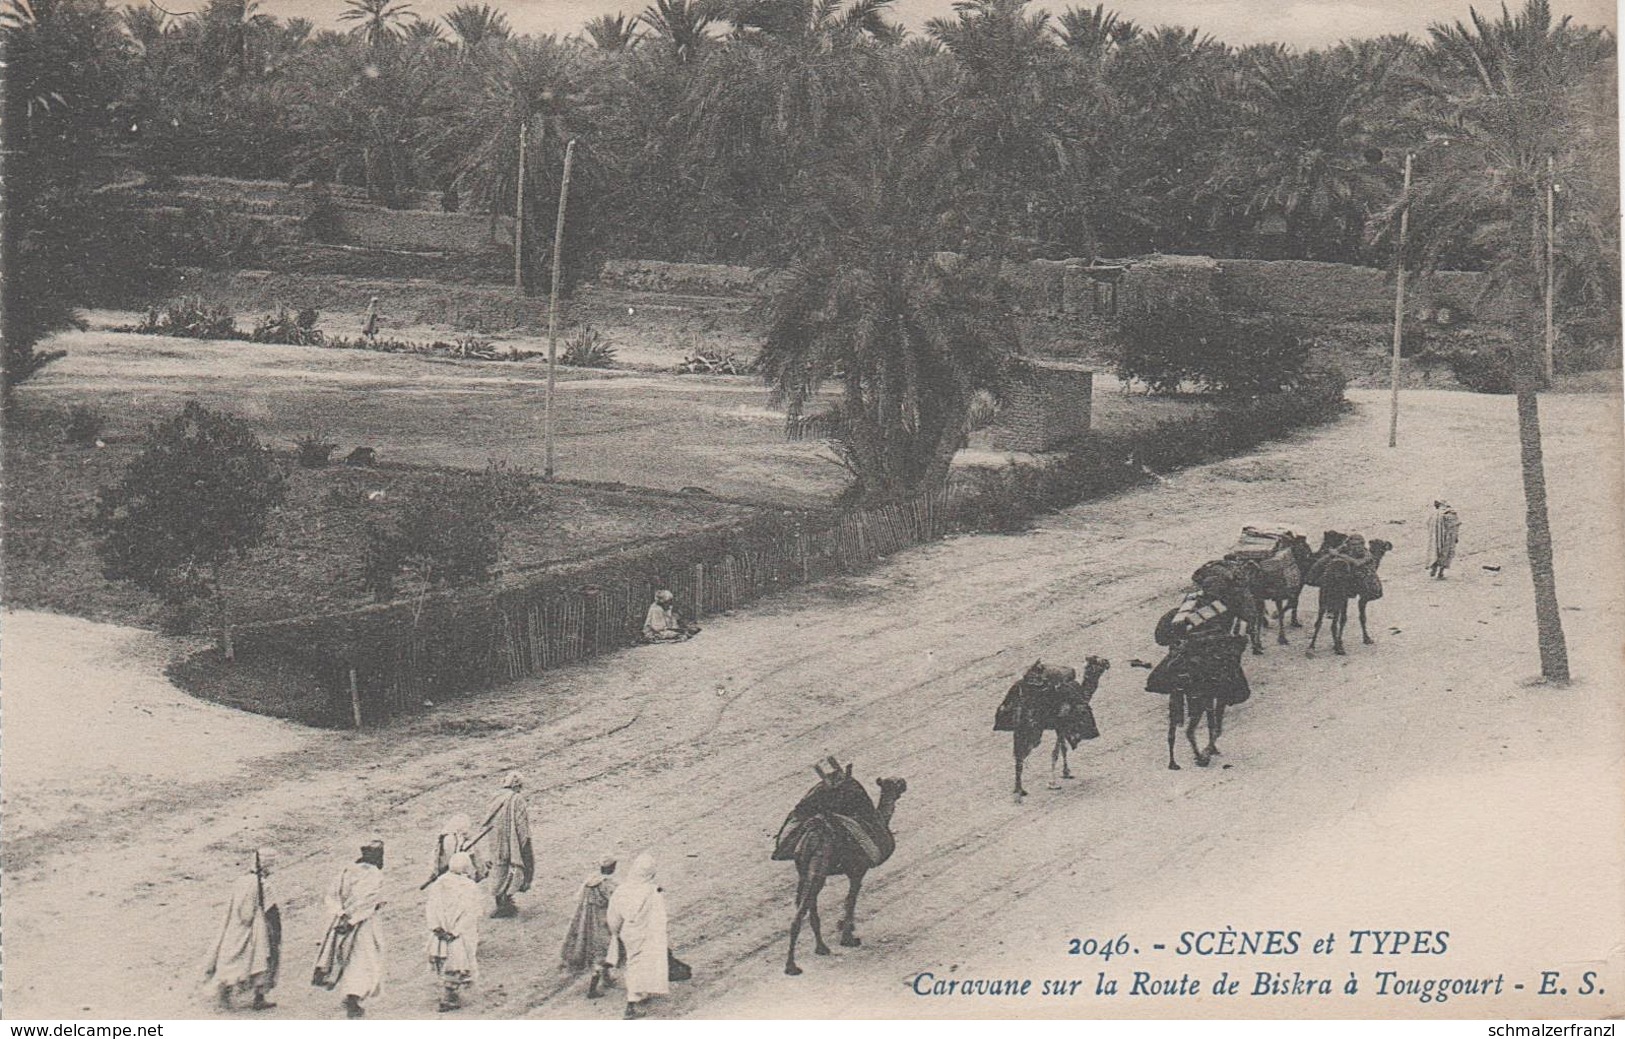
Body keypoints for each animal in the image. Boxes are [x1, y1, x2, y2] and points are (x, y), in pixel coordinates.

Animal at [776, 764, 910, 975]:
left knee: (808, 905)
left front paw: (845, 930)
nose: (904, 782)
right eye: (894, 782)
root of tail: (814, 832)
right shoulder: (858, 871)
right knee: (802, 910)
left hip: (803, 868)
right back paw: (792, 966)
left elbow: (848, 901)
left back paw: (821, 948)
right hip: (818, 868)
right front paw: (848, 937)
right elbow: (850, 900)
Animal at [994, 656, 1111, 796]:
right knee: (1021, 755)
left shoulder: (1058, 727)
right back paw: (1020, 790)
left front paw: (1066, 773)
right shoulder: (1062, 725)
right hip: (1033, 731)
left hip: (1021, 730)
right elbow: (1056, 752)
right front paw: (1054, 782)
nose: (1107, 662)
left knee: (1017, 756)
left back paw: (1018, 789)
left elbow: (1062, 748)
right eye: (1097, 661)